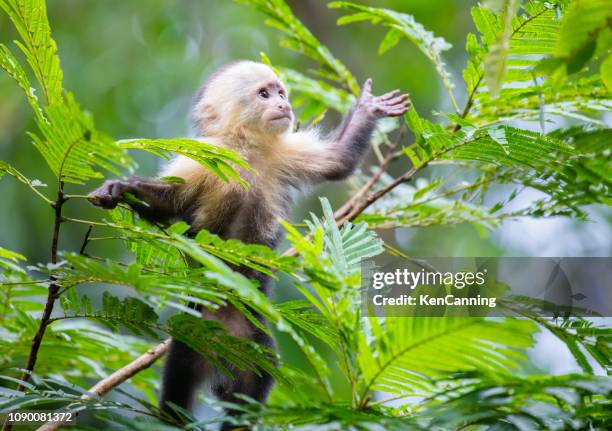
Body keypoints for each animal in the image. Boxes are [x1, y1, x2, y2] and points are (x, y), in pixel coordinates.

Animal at [87, 60, 412, 428]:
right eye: (264, 94)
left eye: (281, 92)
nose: (283, 105)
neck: (248, 150)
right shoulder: (206, 159)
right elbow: (169, 204)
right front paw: (120, 190)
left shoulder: (283, 153)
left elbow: (338, 161)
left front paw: (369, 108)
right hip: (194, 334)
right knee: (180, 379)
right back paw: (173, 415)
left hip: (251, 340)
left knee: (253, 382)